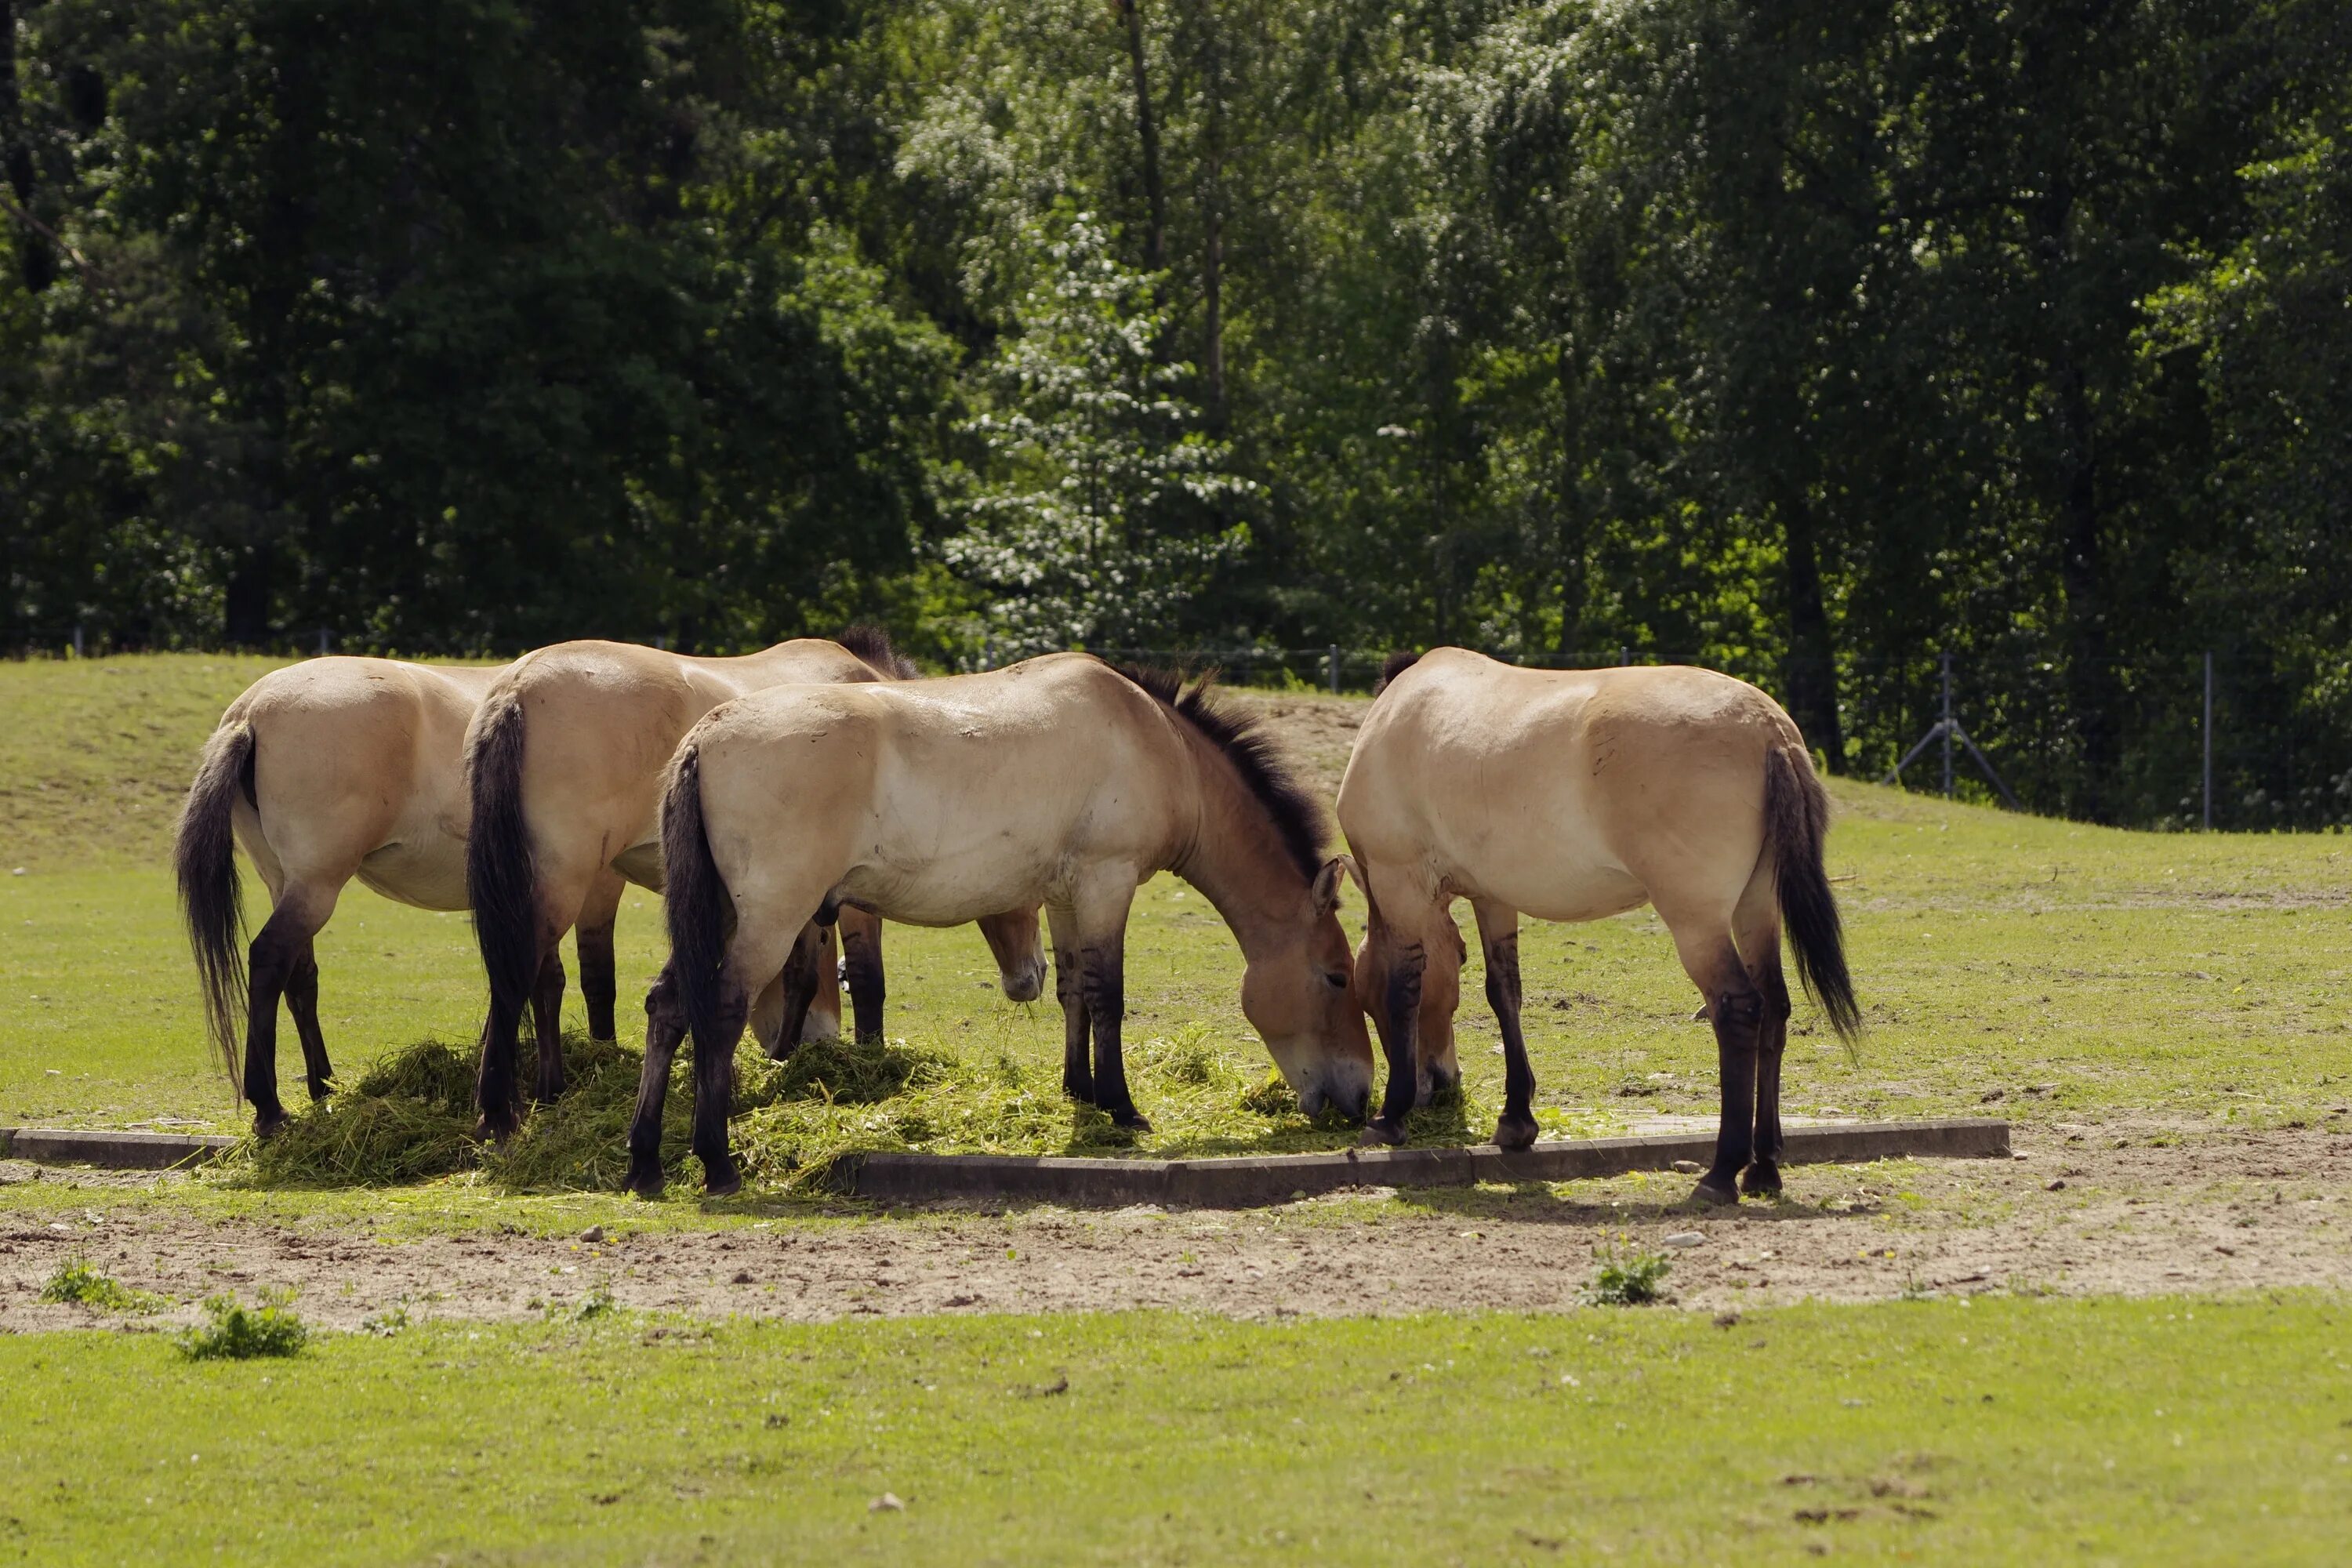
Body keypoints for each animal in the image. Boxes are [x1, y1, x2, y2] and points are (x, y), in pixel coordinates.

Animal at [175, 658, 529, 1133]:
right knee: (269, 959)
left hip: (287, 884)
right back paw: (269, 1108)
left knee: (300, 976)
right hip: (317, 886)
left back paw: (324, 1088)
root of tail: (251, 711)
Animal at [461, 630, 1049, 1142]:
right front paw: (864, 1056)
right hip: (564, 884)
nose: (1033, 976)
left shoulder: (804, 901)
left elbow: (801, 978)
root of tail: (517, 688)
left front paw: (790, 1053)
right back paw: (497, 1113)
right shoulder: (845, 900)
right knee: (516, 976)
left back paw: (534, 1094)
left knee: (527, 979)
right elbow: (861, 979)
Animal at [635, 658, 1374, 1194]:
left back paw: (644, 1163)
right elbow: (1109, 998)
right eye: (1338, 978)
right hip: (769, 918)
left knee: (669, 1007)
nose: (1361, 1097)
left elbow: (1076, 992)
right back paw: (717, 1163)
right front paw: (1122, 1107)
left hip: (723, 917)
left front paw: (1081, 1091)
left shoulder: (1068, 896)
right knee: (720, 1010)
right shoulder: (1107, 883)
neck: (1156, 742)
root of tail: (707, 735)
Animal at [1345, 644, 1853, 1213]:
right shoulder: (1493, 897)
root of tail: (1766, 728)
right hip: (1755, 908)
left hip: (1698, 920)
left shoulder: (1400, 886)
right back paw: (1764, 1167)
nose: (1439, 1088)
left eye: (1358, 990)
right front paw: (1517, 1120)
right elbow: (1504, 993)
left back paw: (1722, 1171)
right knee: (1776, 1009)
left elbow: (1404, 992)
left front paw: (1390, 1115)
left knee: (1740, 1010)